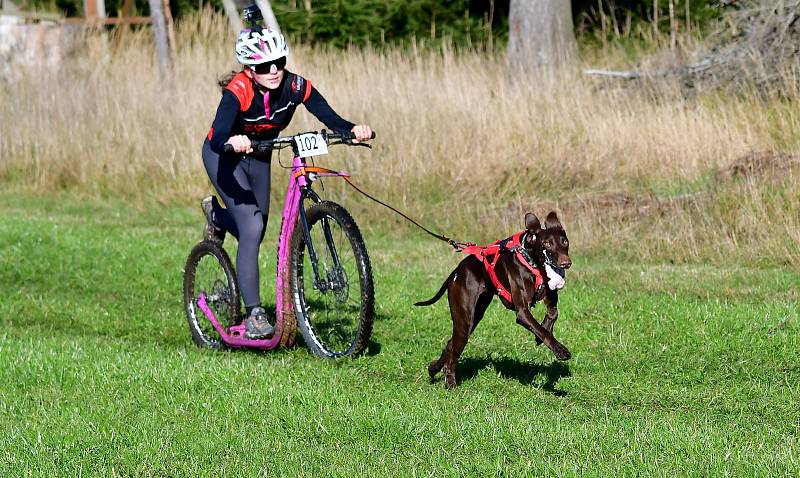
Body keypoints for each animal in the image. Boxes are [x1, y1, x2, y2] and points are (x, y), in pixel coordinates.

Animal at [416, 212, 572, 388]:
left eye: (564, 241)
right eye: (546, 243)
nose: (566, 263)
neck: (532, 261)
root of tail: (456, 272)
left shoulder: (550, 299)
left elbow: (552, 315)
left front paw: (541, 336)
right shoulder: (522, 313)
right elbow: (541, 329)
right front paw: (560, 350)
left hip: (475, 316)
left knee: (450, 345)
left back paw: (434, 368)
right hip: (464, 320)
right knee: (453, 350)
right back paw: (450, 382)